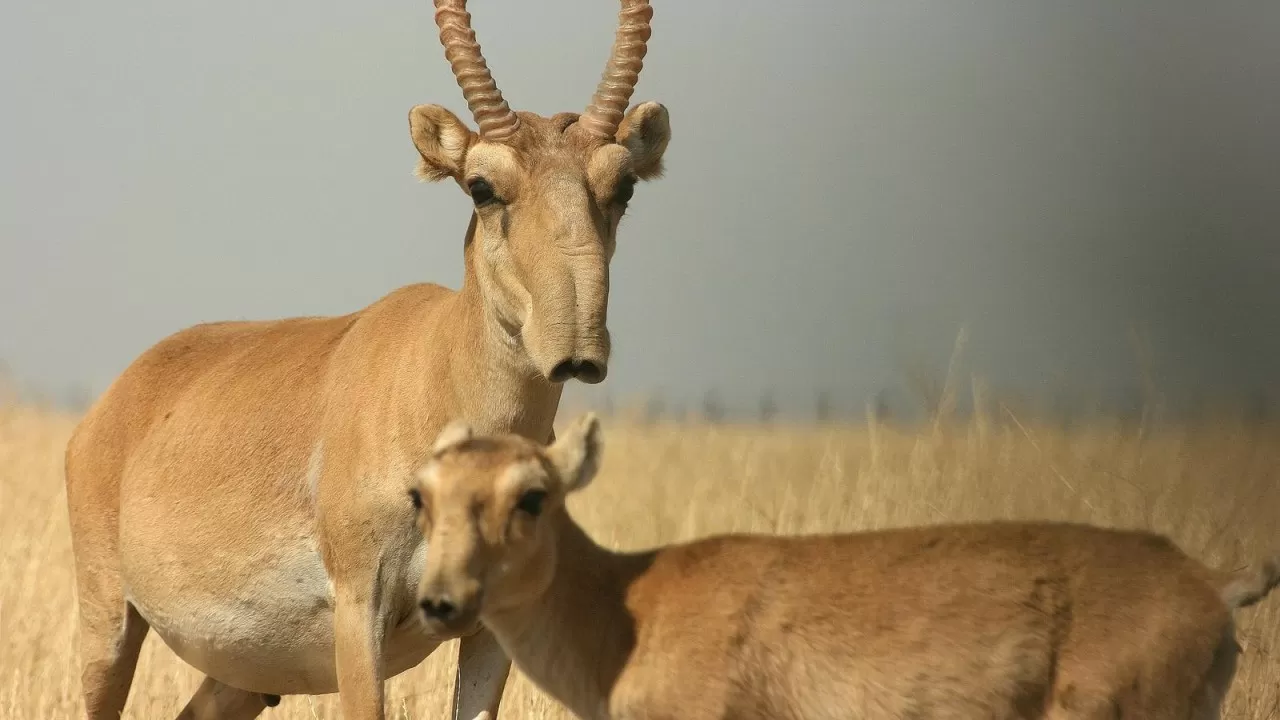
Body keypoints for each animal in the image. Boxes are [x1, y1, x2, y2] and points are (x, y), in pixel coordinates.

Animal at [62, 2, 670, 712]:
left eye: (623, 185)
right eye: (481, 186)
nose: (575, 346)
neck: (434, 368)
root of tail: (113, 404)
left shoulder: (491, 630)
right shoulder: (361, 612)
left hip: (242, 678)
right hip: (109, 628)